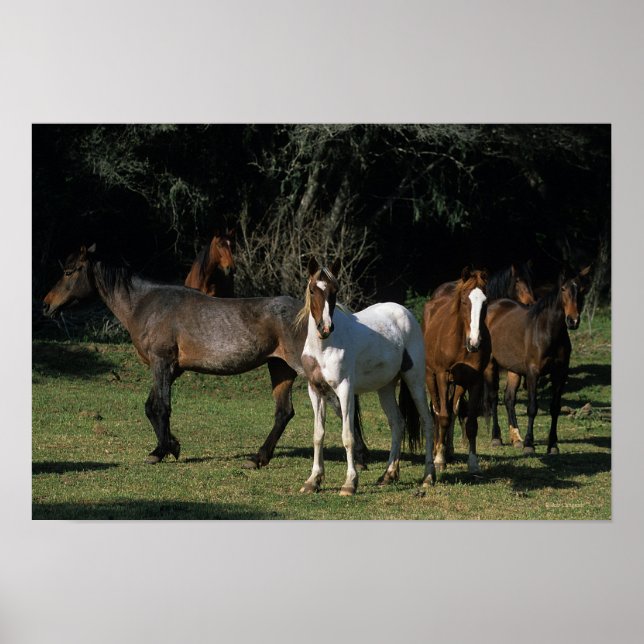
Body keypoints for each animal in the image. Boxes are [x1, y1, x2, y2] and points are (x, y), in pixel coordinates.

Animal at [42, 244, 369, 469]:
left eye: (69, 271)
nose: (46, 305)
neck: (146, 304)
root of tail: (318, 317)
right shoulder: (170, 368)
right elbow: (151, 407)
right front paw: (170, 445)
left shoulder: (161, 363)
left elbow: (161, 407)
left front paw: (161, 451)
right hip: (280, 368)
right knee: (284, 412)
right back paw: (258, 458)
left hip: (302, 369)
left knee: (338, 405)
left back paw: (361, 459)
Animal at [298, 258, 435, 496]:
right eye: (313, 289)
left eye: (334, 291)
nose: (325, 328)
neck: (324, 347)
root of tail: (405, 313)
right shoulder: (316, 391)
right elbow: (318, 435)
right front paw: (313, 481)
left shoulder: (345, 390)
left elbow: (348, 436)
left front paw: (350, 483)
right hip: (386, 388)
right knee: (397, 423)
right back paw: (388, 475)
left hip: (415, 380)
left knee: (427, 422)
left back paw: (428, 477)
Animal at [422, 268, 490, 473]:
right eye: (464, 300)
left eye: (486, 301)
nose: (474, 342)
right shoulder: (443, 375)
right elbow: (443, 416)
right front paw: (439, 459)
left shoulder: (475, 380)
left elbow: (471, 424)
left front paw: (473, 463)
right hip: (431, 377)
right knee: (437, 410)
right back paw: (437, 449)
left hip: (459, 383)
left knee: (453, 409)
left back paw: (448, 449)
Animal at [484, 266, 591, 454]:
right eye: (563, 289)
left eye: (582, 291)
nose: (573, 320)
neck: (547, 330)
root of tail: (492, 305)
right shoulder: (533, 373)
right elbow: (532, 408)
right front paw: (529, 444)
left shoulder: (560, 374)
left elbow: (555, 408)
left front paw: (553, 445)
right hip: (492, 365)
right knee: (493, 398)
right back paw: (496, 438)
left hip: (514, 369)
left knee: (509, 398)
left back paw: (516, 439)